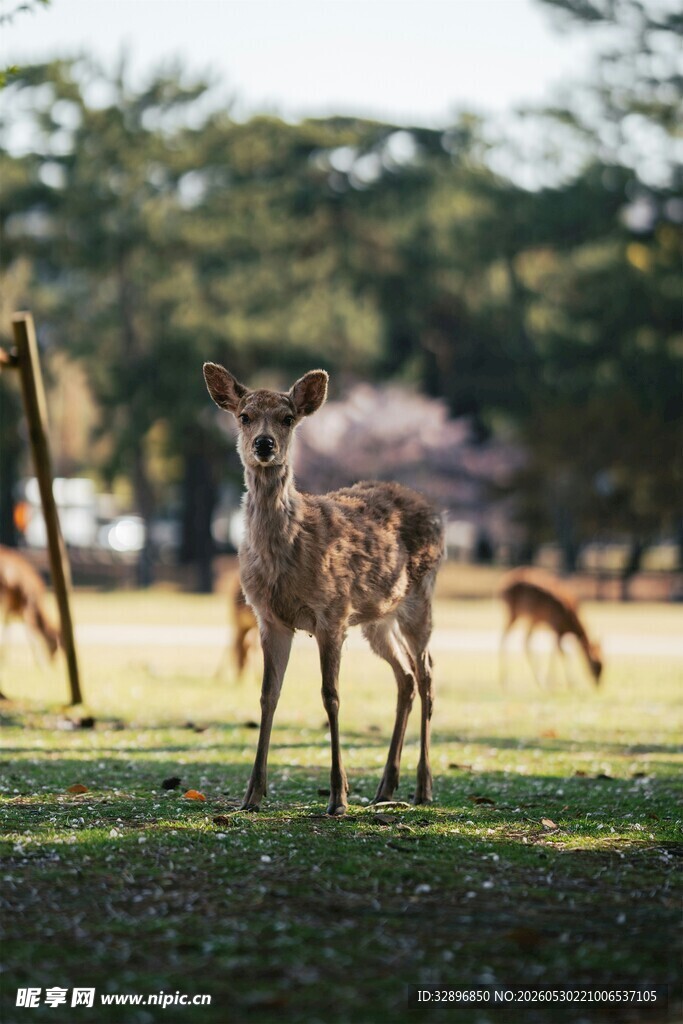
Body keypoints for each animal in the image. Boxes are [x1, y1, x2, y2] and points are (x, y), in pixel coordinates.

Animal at [0, 545, 61, 695]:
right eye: (55, 645)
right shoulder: (26, 605)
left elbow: (8, 628)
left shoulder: (16, 609)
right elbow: (30, 635)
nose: (54, 663)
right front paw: (40, 666)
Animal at [203, 363, 445, 815]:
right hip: (376, 619)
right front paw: (251, 795)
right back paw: (386, 787)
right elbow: (267, 695)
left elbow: (330, 695)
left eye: (287, 418)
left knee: (426, 674)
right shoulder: (269, 618)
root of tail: (437, 510)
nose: (264, 444)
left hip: (420, 597)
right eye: (244, 416)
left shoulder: (332, 612)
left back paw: (423, 787)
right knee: (404, 676)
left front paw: (338, 796)